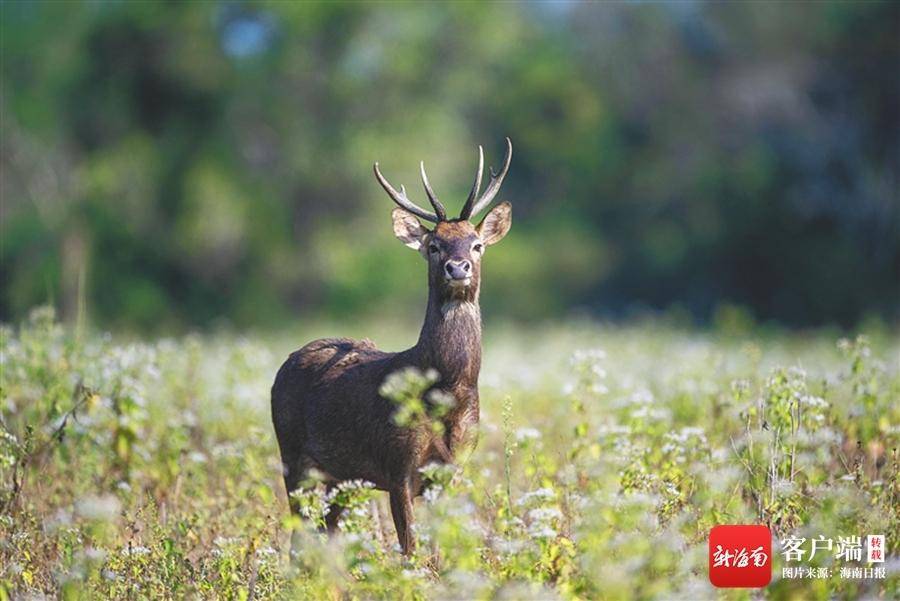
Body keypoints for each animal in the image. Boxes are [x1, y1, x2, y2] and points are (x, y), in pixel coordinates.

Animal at [270, 137, 512, 552]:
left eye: (478, 244)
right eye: (434, 245)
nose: (458, 267)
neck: (448, 390)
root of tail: (285, 364)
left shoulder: (453, 467)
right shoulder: (397, 462)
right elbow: (411, 550)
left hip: (341, 477)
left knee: (327, 532)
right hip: (293, 455)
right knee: (298, 536)